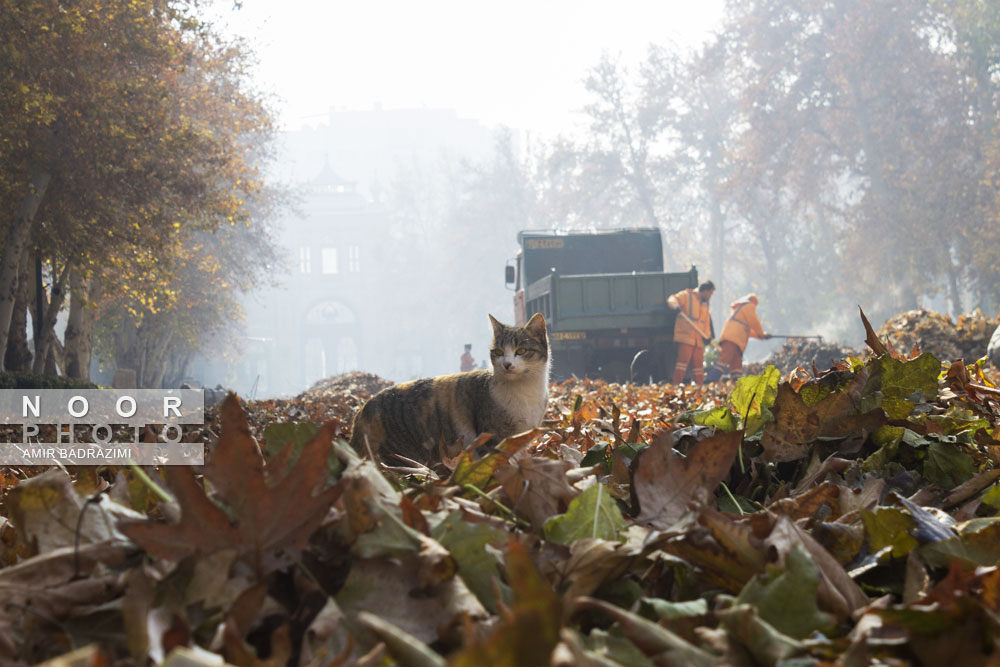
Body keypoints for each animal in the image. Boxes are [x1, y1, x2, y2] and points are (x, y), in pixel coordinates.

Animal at [350, 314, 556, 464]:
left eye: (521, 351)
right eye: (498, 352)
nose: (506, 364)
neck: (525, 391)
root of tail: (361, 412)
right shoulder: (491, 437)